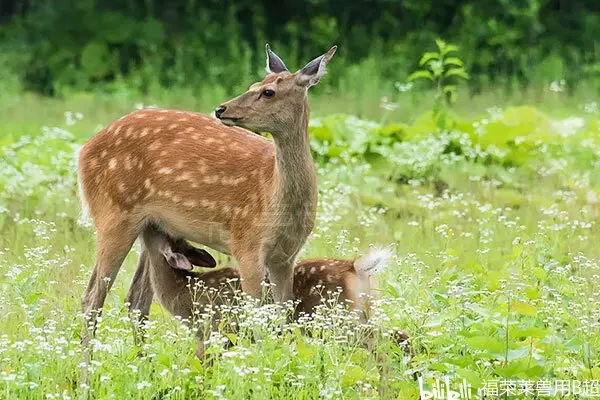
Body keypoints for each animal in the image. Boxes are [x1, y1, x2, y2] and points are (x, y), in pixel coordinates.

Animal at [77, 45, 336, 334]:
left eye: (268, 91)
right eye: (253, 84)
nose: (221, 108)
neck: (273, 194)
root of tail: (83, 151)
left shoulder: (286, 256)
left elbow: (283, 317)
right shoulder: (245, 243)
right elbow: (257, 318)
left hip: (151, 226)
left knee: (136, 300)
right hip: (112, 213)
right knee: (92, 297)